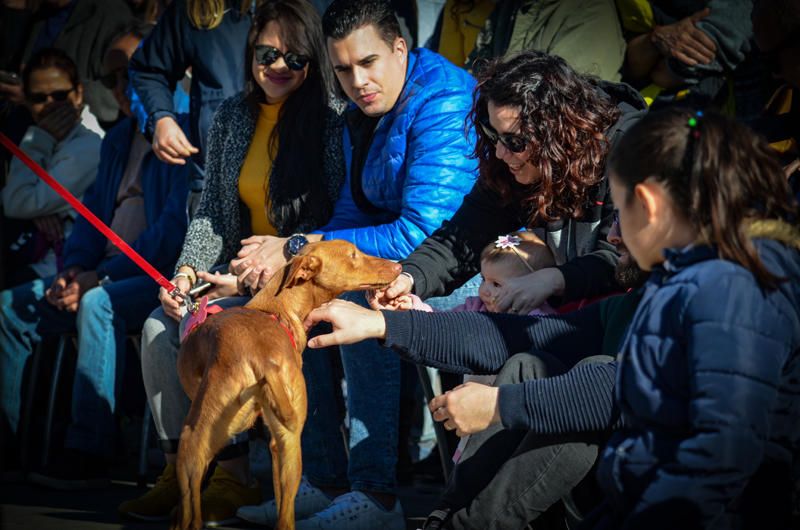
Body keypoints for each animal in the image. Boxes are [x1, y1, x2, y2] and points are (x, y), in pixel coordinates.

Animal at [173, 240, 404, 528]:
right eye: (353, 255)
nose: (399, 267)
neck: (274, 309)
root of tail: (263, 359)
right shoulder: (279, 441)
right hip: (289, 447)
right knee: (285, 518)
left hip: (192, 440)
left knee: (189, 512)